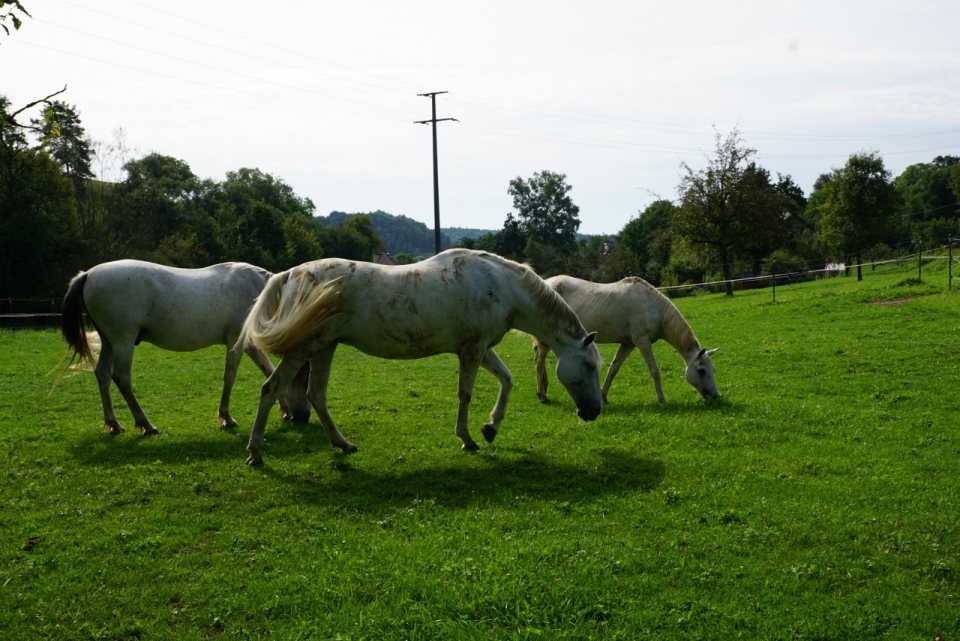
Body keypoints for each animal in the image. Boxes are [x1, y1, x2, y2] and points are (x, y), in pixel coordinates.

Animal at [58, 260, 312, 436]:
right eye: (304, 381)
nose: (304, 416)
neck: (257, 292)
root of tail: (88, 274)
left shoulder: (248, 344)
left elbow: (268, 371)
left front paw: (284, 409)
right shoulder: (236, 342)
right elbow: (230, 377)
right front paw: (226, 417)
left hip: (109, 341)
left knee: (102, 375)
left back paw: (113, 424)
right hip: (123, 340)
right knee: (121, 378)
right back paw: (145, 424)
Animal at [240, 248, 600, 462]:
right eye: (590, 366)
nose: (593, 412)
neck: (501, 286)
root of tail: (289, 275)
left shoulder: (481, 348)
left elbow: (507, 380)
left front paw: (491, 427)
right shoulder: (472, 351)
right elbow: (465, 394)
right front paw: (467, 438)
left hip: (324, 347)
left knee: (316, 395)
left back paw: (343, 444)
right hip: (304, 349)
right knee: (271, 390)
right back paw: (255, 452)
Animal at [532, 276, 720, 404]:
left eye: (714, 370)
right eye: (701, 370)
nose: (716, 396)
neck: (652, 306)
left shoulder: (628, 345)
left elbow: (613, 369)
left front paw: (603, 396)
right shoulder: (642, 342)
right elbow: (655, 371)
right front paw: (662, 399)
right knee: (539, 362)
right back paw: (542, 395)